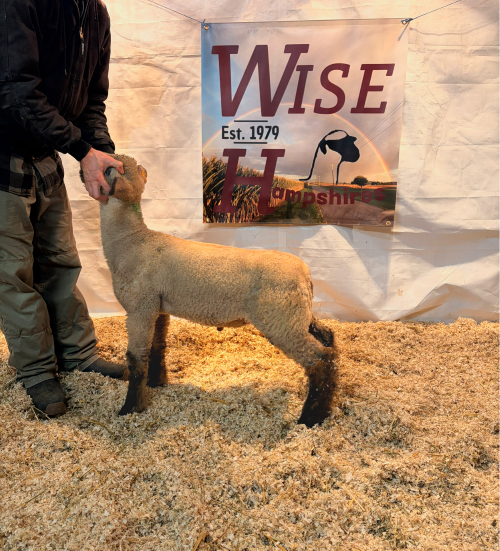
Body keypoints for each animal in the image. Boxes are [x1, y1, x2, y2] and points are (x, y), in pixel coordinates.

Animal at [95, 154, 338, 427]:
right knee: (328, 338)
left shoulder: (139, 308)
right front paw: (157, 383)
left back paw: (310, 418)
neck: (132, 241)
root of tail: (306, 274)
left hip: (282, 321)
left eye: (108, 168)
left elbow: (136, 360)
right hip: (297, 314)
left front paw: (131, 408)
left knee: (321, 361)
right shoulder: (157, 307)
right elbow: (157, 347)